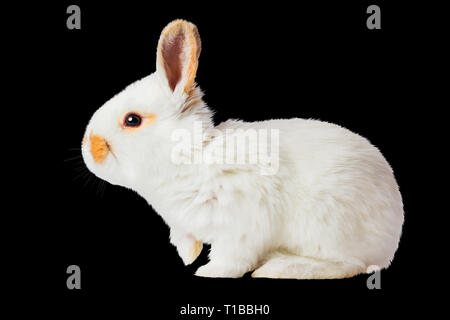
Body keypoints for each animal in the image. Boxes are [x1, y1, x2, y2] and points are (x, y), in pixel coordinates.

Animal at [81, 20, 404, 278]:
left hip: (328, 227)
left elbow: (231, 259)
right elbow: (187, 239)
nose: (89, 148)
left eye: (132, 120)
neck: (191, 157)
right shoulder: (184, 226)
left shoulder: (241, 224)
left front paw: (208, 272)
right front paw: (188, 256)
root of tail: (390, 240)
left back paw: (279, 268)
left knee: (350, 264)